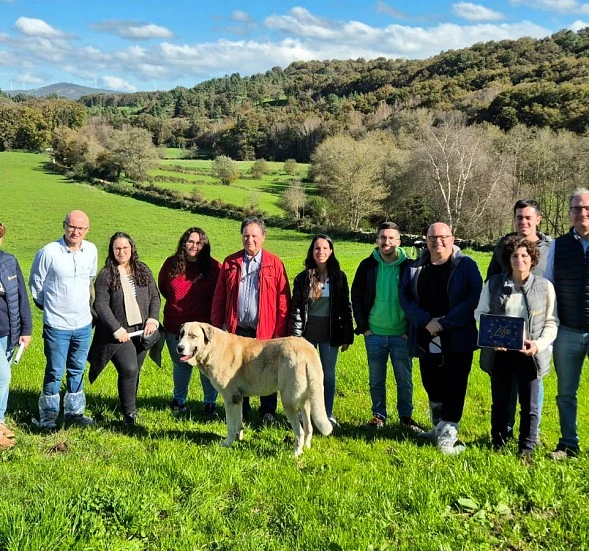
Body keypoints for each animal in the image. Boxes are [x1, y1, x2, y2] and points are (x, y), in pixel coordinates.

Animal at [175, 322, 334, 454]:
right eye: (181, 334)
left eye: (192, 336)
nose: (179, 348)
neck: (212, 348)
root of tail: (308, 349)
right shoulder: (238, 398)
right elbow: (238, 422)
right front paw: (238, 438)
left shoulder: (229, 398)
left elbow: (230, 425)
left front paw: (227, 443)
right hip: (305, 400)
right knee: (308, 427)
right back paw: (306, 447)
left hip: (288, 401)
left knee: (299, 431)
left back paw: (296, 454)